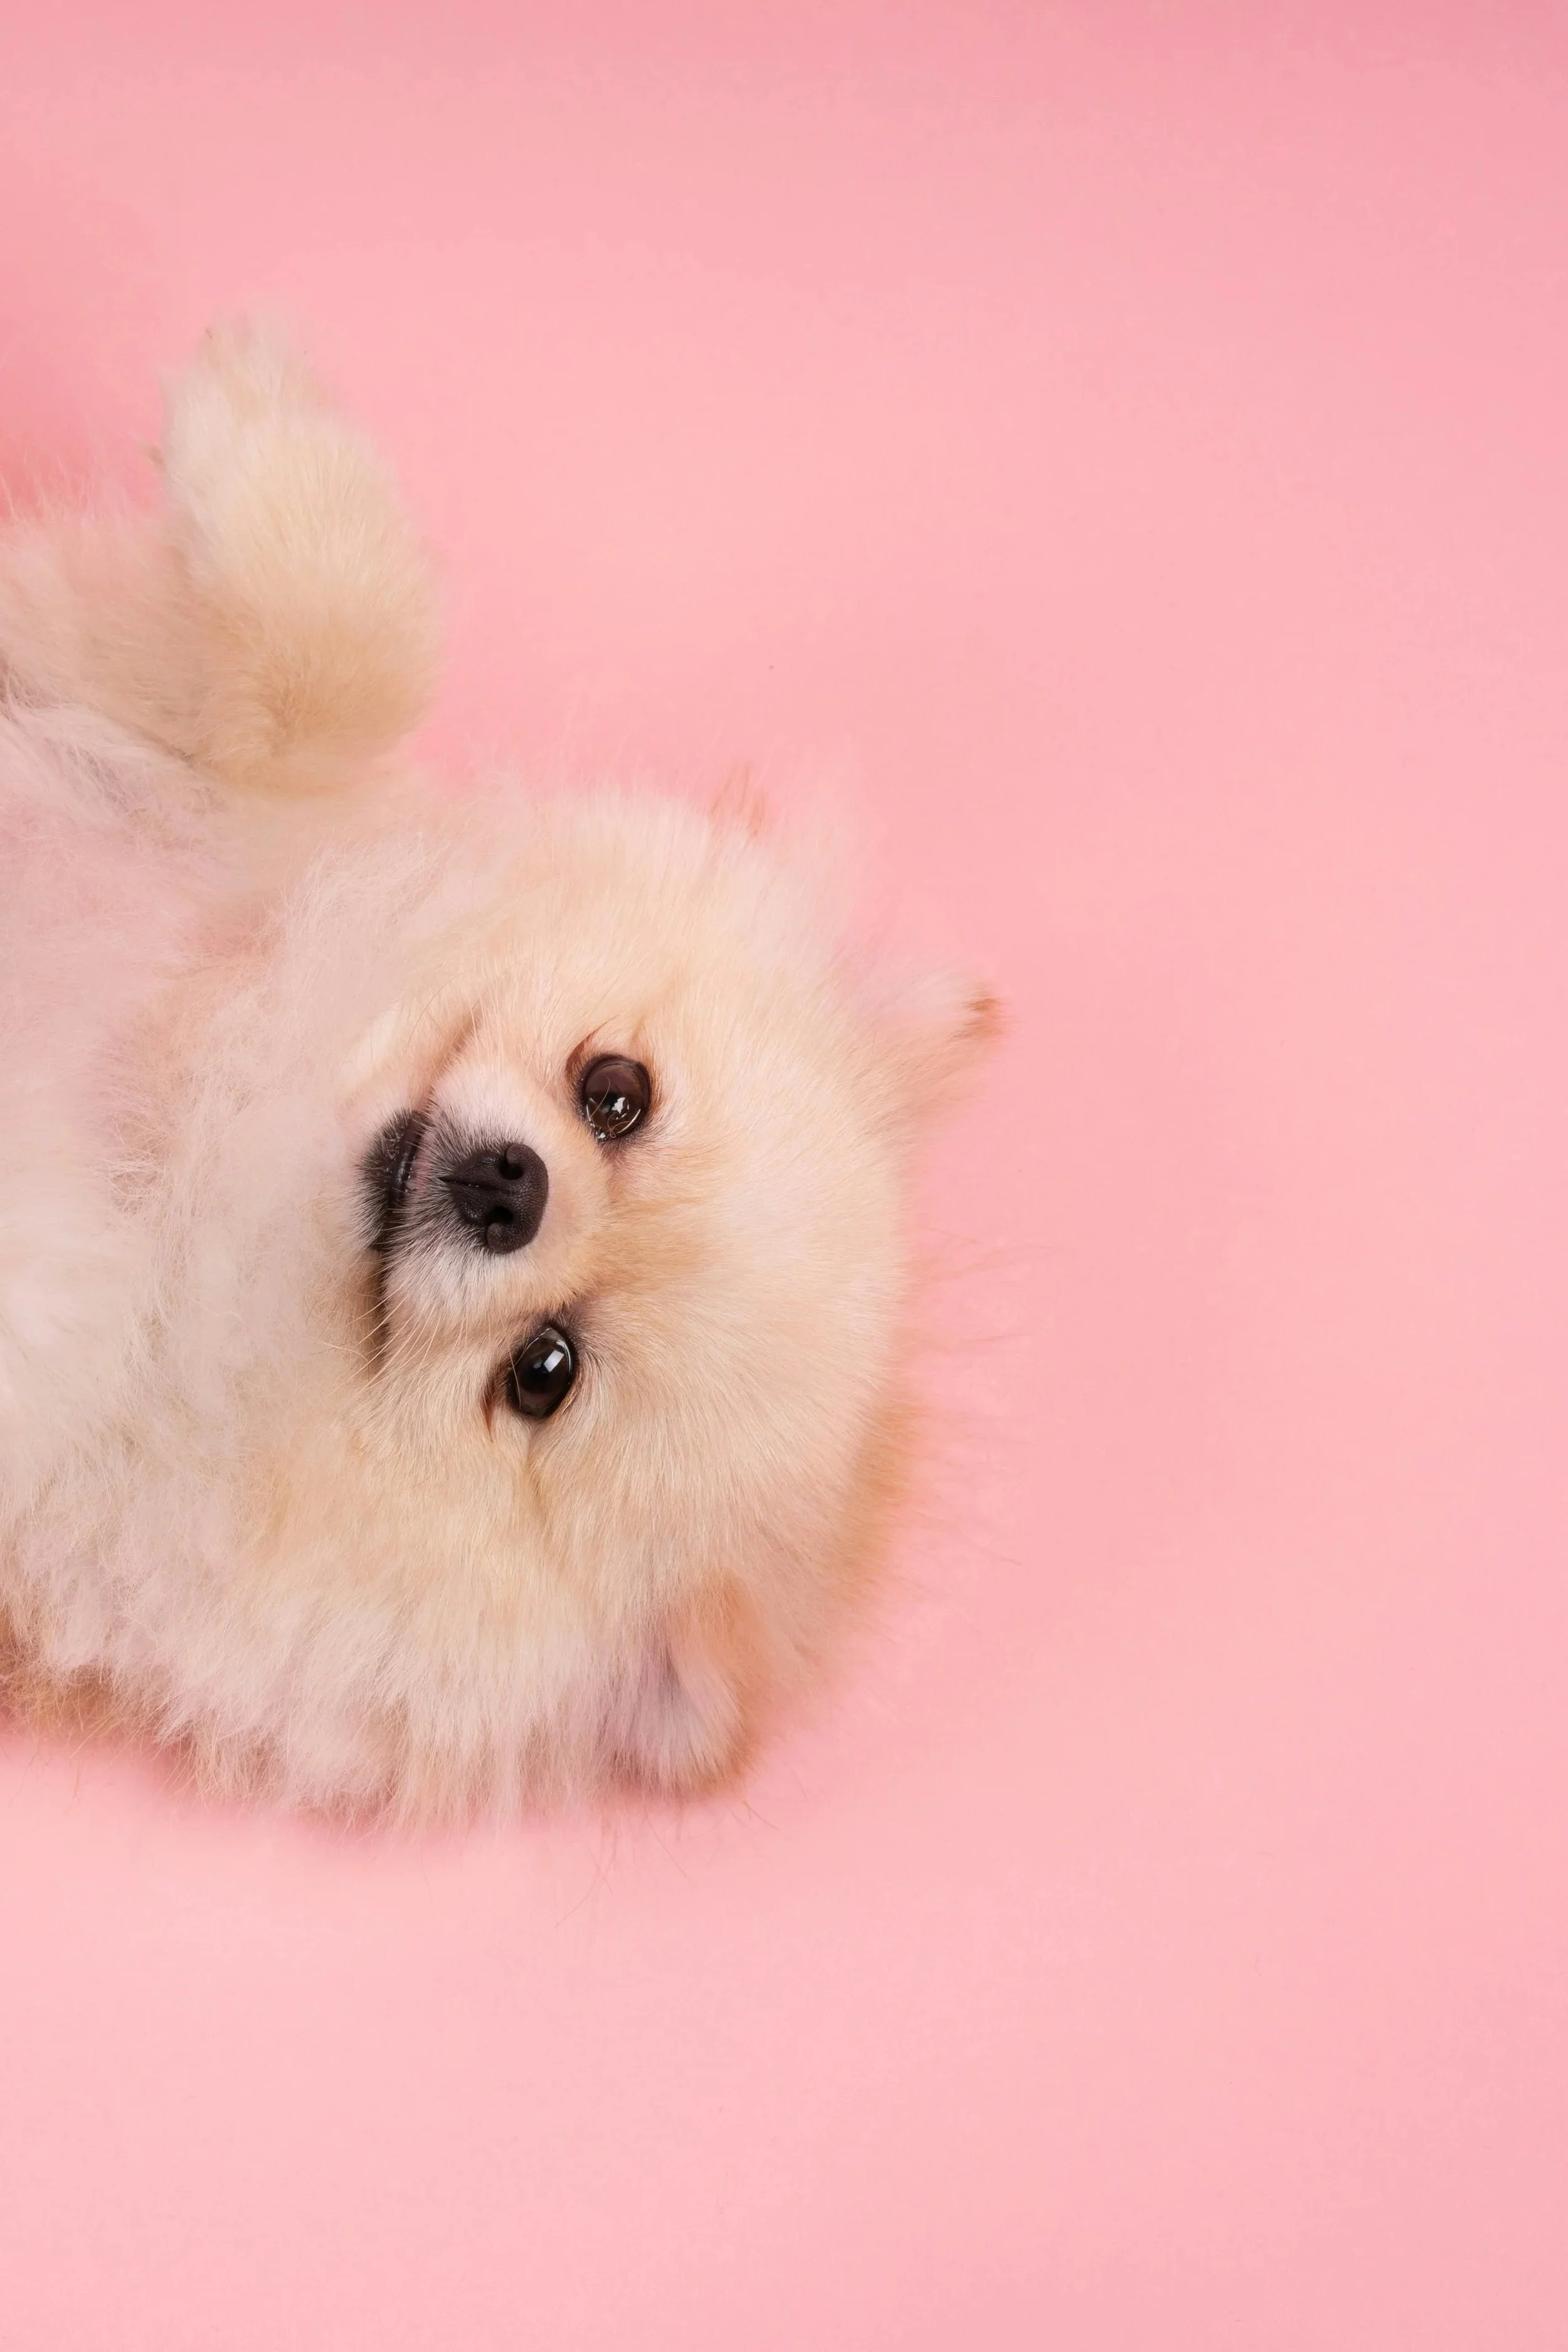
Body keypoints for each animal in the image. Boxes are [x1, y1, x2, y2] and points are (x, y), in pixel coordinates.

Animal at [0, 323, 993, 1819]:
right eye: (617, 1093)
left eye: (545, 1369)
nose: (509, 1187)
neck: (214, 1109)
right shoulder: (136, 727)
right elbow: (327, 674)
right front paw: (251, 422)